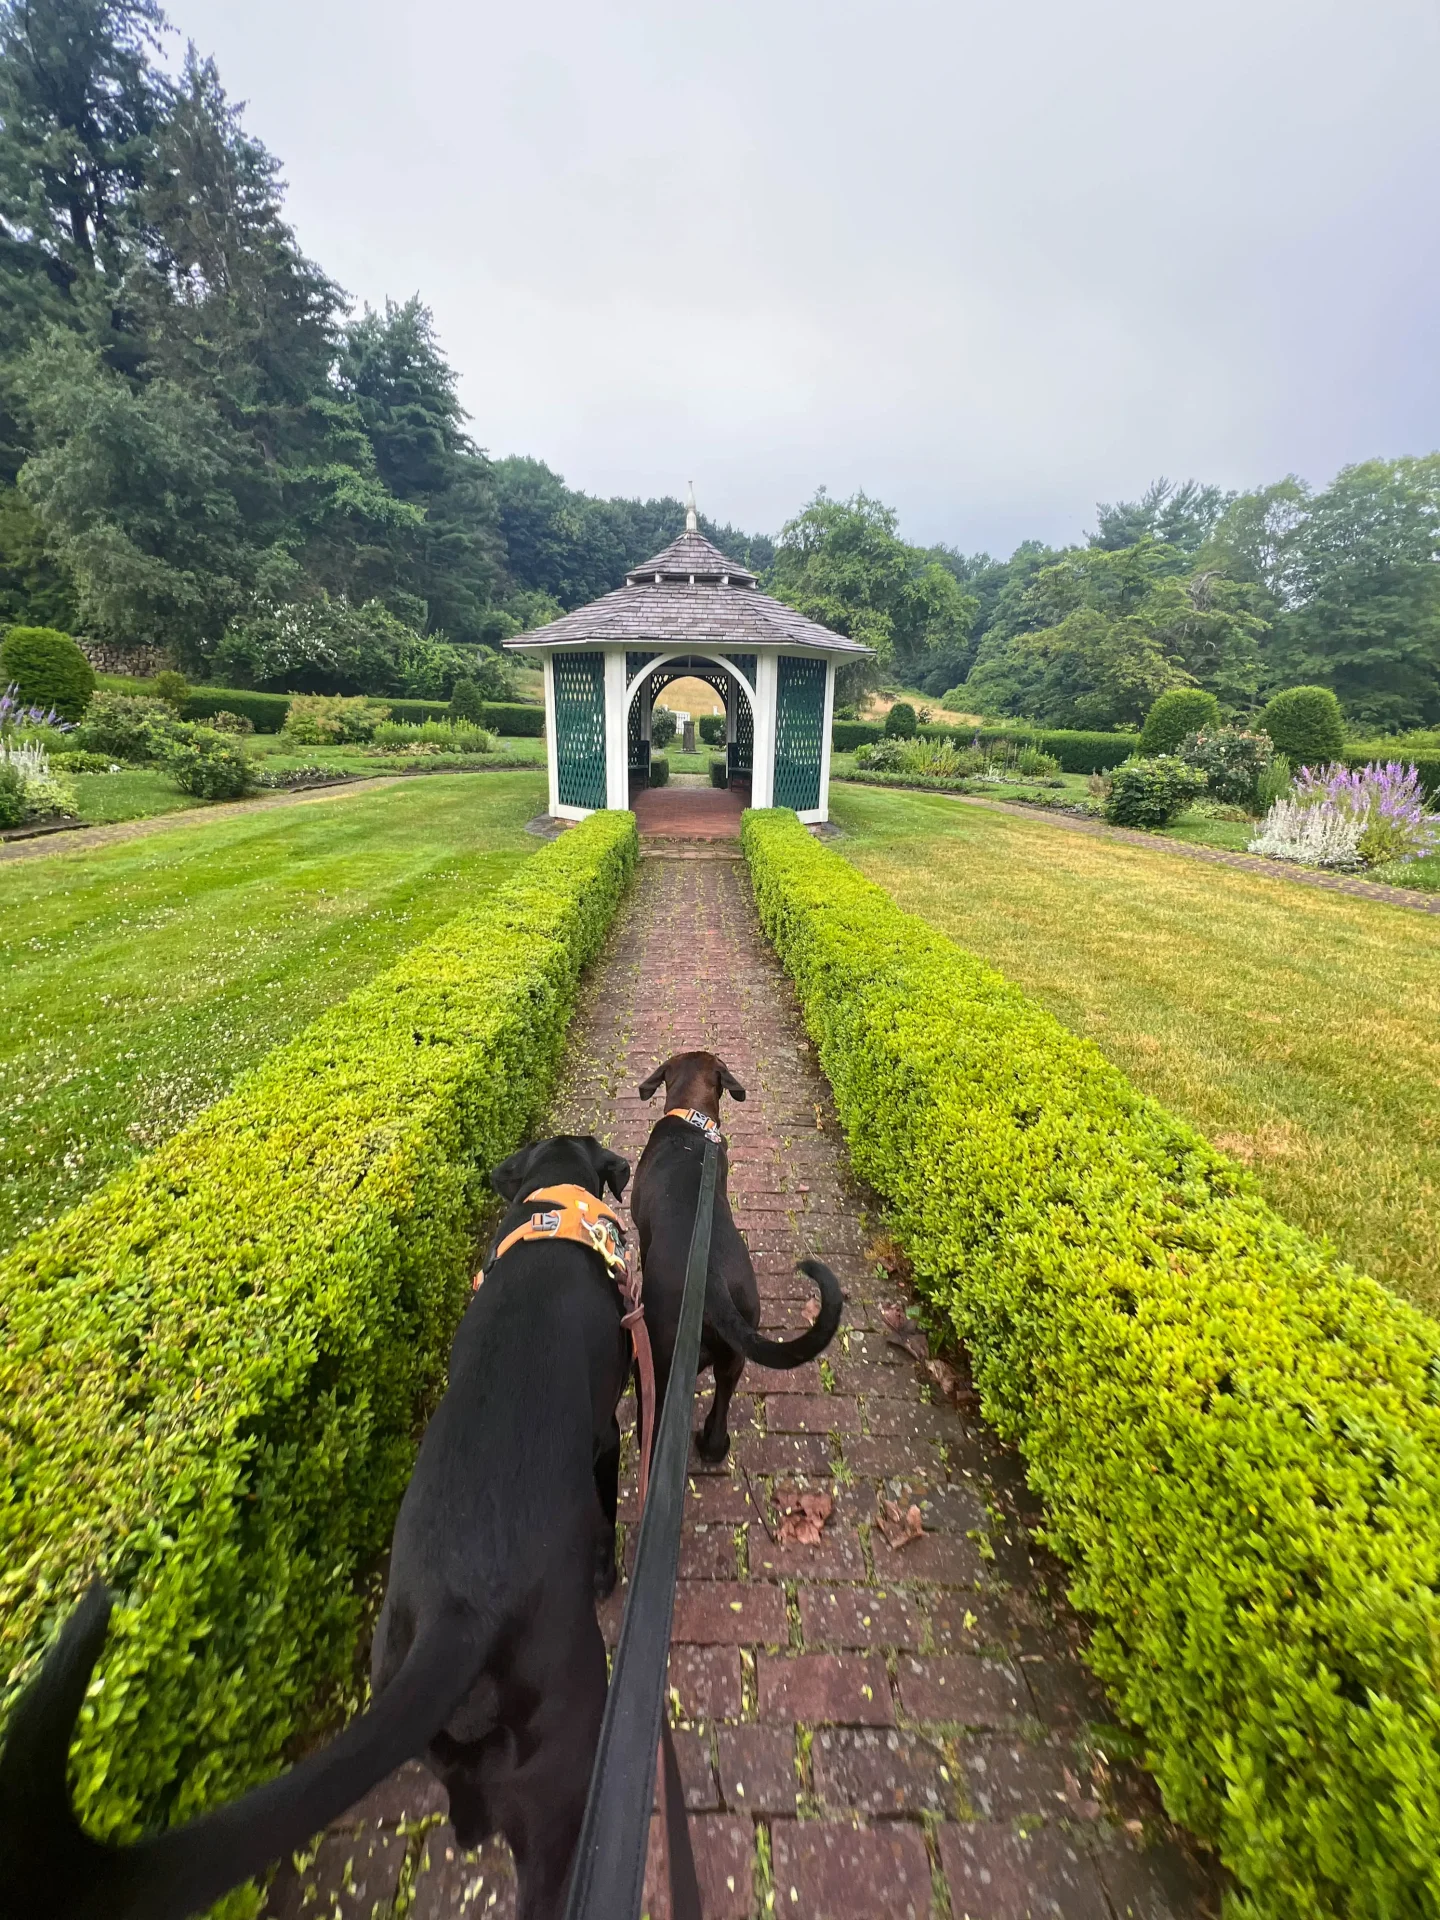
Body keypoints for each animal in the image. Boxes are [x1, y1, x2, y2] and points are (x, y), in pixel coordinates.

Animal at [629, 1059, 844, 1459]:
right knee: (720, 1414)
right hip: (735, 1356)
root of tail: (711, 1285)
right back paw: (711, 1446)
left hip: (658, 1361)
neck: (693, 1122)